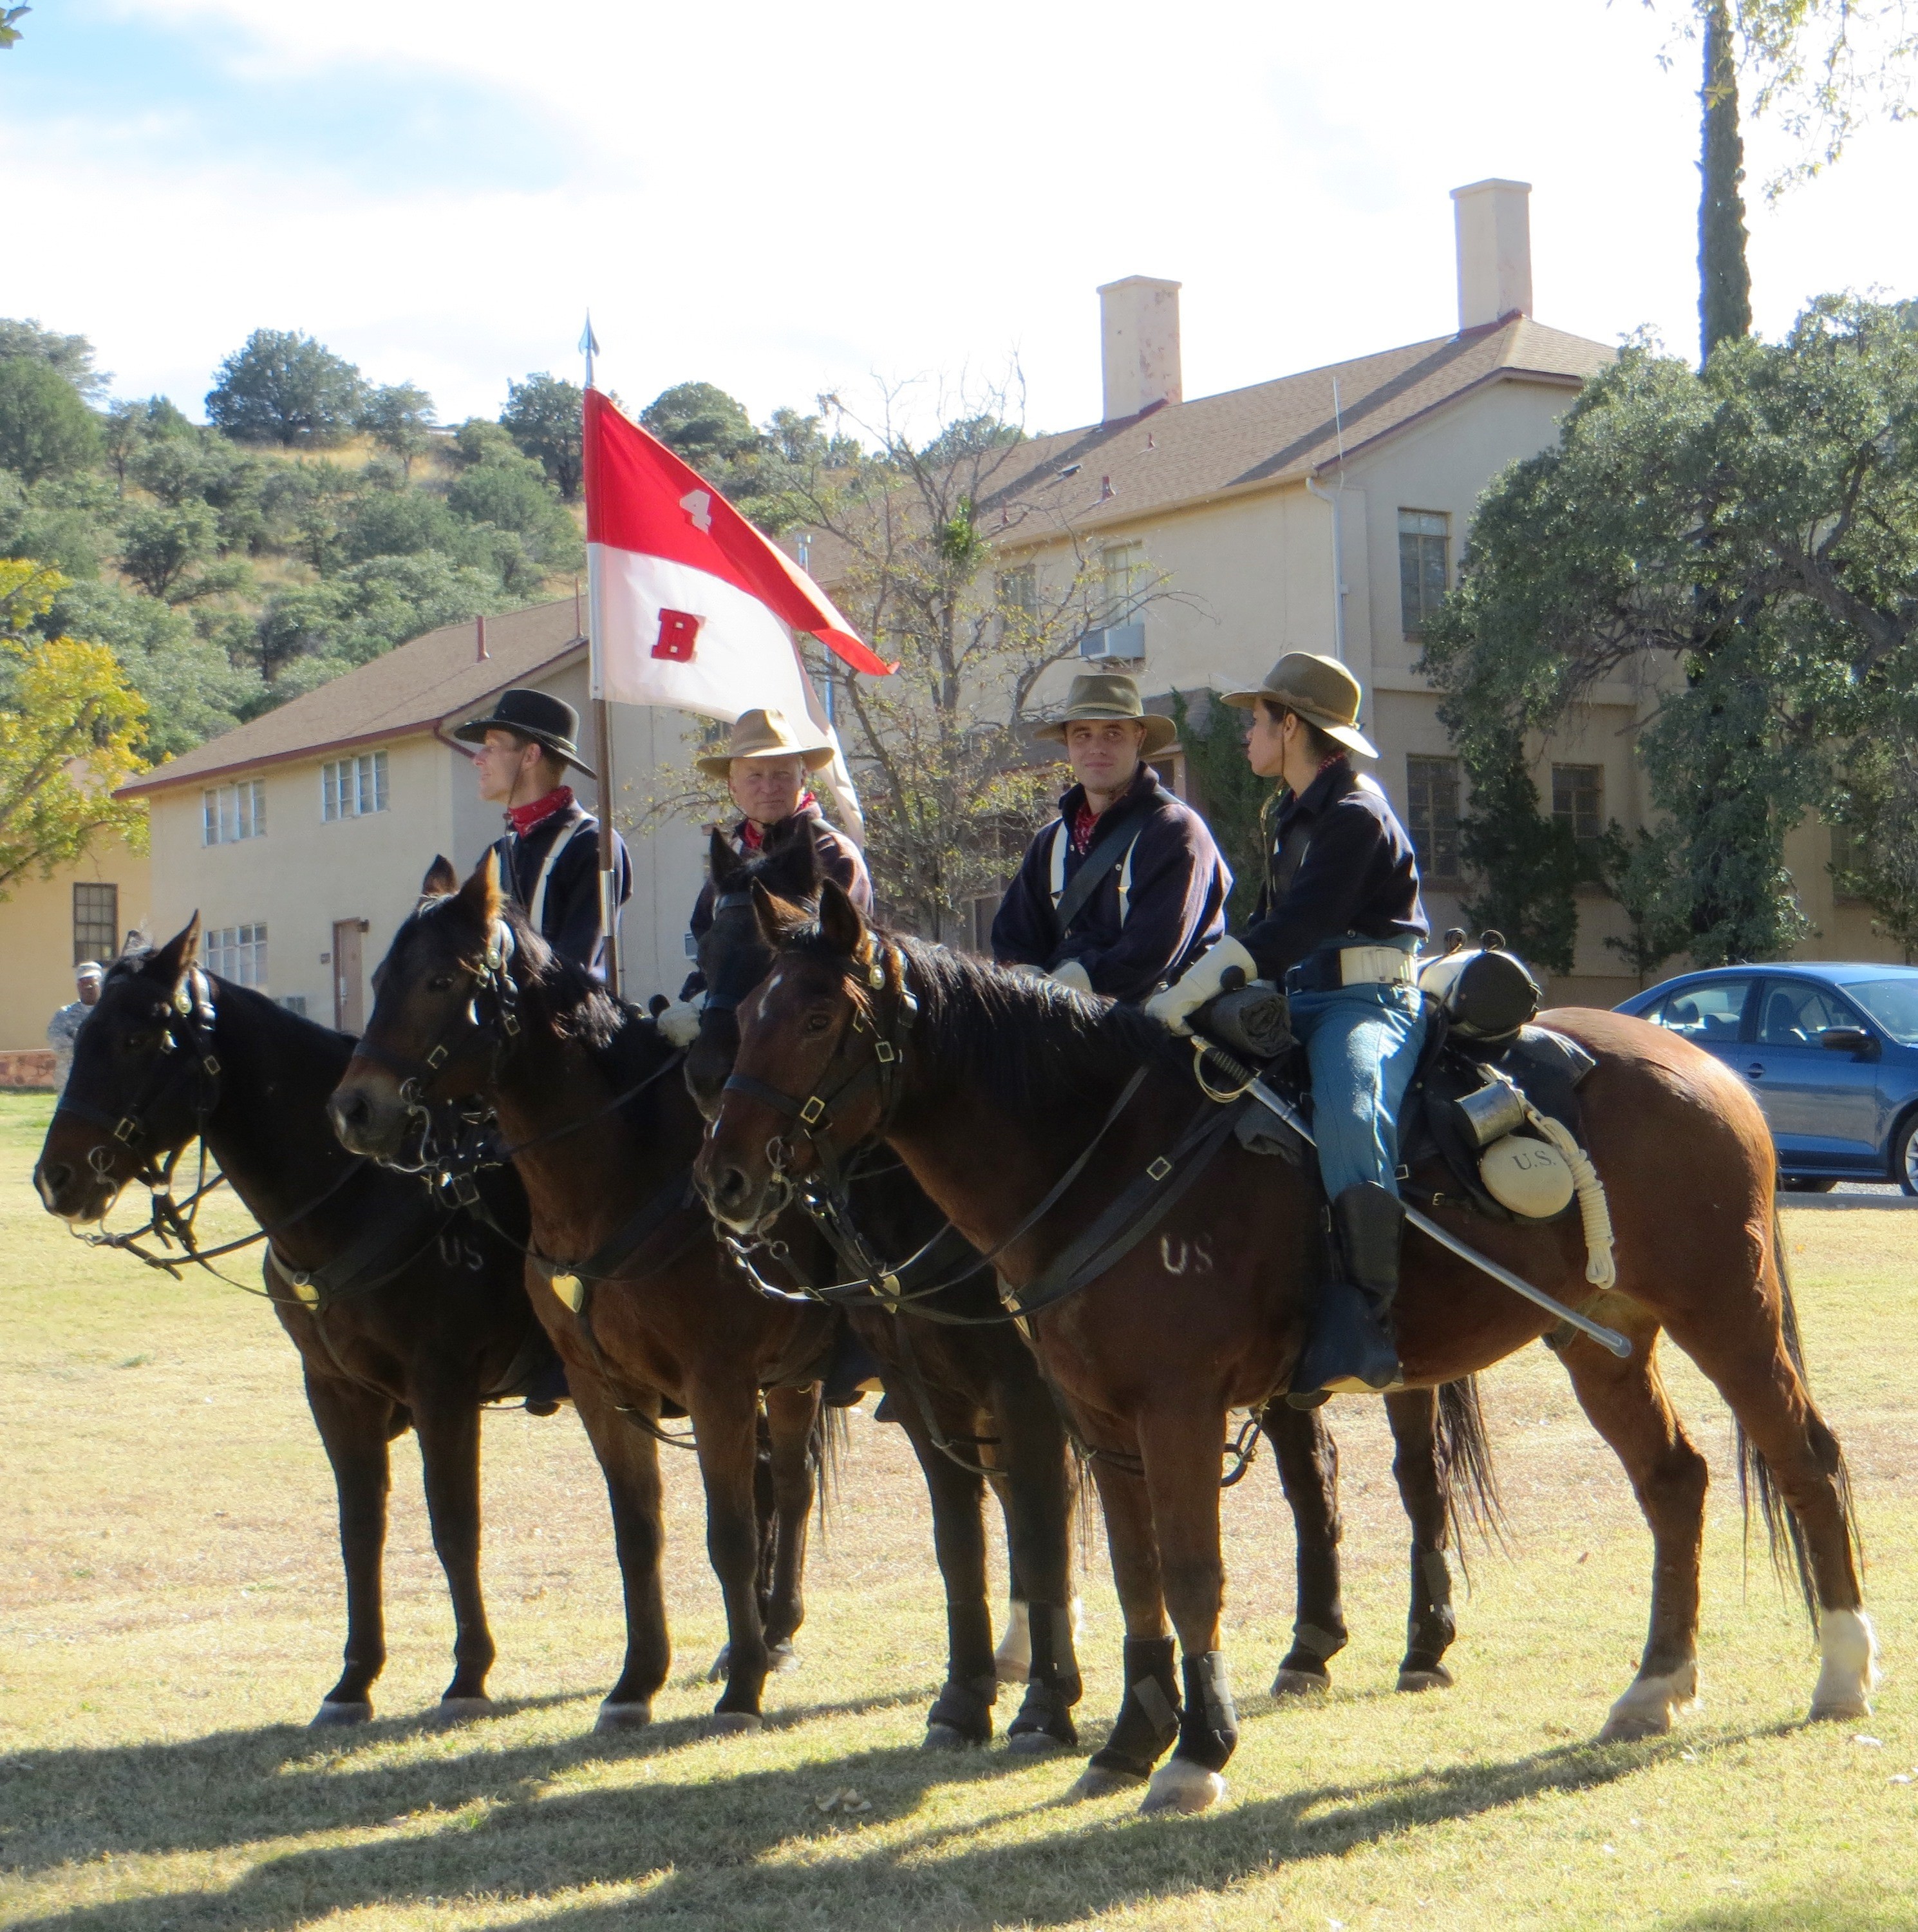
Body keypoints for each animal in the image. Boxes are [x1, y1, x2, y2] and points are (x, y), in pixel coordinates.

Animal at [33, 920, 549, 1723]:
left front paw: (469, 1673)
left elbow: (453, 1523)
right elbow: (359, 1528)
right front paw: (355, 1678)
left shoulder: (444, 1386)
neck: (365, 1193)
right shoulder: (335, 1392)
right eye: (80, 1035)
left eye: (136, 1039)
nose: (55, 1179)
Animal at [691, 885, 1870, 1816]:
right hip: (1602, 1339)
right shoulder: (1097, 1423)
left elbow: (1190, 1572)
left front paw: (1196, 1751)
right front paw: (1128, 1740)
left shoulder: (1171, 1410)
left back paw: (1841, 1671)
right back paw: (1655, 1685)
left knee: (1803, 1458)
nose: (723, 1179)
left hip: (1726, 1312)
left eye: (812, 1016)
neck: (1101, 1147)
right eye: (740, 1015)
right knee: (1672, 1481)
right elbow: (1133, 1577)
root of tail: (1704, 1065)